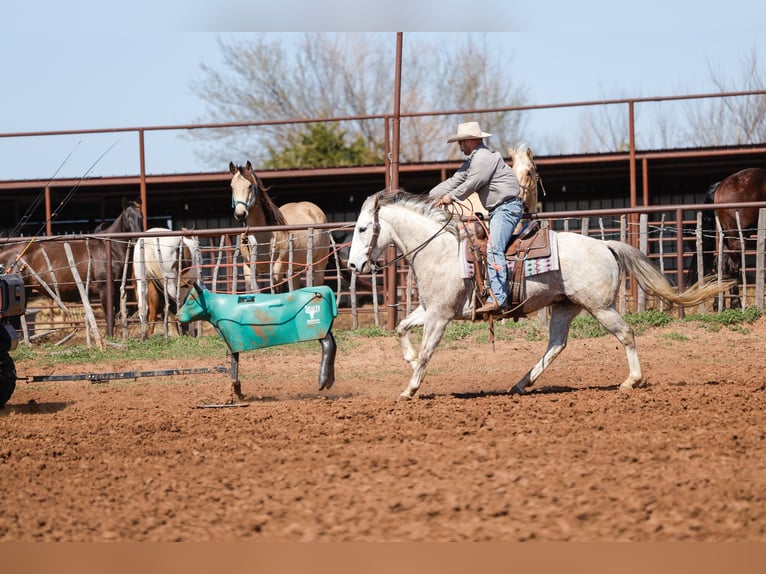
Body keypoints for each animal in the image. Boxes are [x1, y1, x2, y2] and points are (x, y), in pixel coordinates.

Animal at [0, 199, 143, 335]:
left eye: (141, 216)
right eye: (127, 217)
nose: (136, 239)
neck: (109, 249)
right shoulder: (105, 289)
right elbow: (109, 318)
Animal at [229, 161, 331, 291]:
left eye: (250, 185)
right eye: (232, 186)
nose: (240, 214)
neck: (263, 234)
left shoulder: (277, 268)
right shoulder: (248, 268)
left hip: (319, 265)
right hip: (294, 268)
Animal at [347, 190, 733, 400]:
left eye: (364, 228)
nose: (352, 265)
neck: (440, 249)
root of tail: (607, 245)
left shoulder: (440, 316)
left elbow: (428, 352)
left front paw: (410, 388)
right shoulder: (431, 309)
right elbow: (401, 329)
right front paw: (410, 362)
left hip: (601, 306)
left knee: (625, 333)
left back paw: (631, 381)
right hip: (565, 307)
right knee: (556, 345)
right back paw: (521, 383)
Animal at [689, 168, 766, 309]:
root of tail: (721, 185)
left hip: (725, 237)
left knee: (720, 264)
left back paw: (719, 304)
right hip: (736, 236)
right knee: (732, 267)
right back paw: (735, 304)